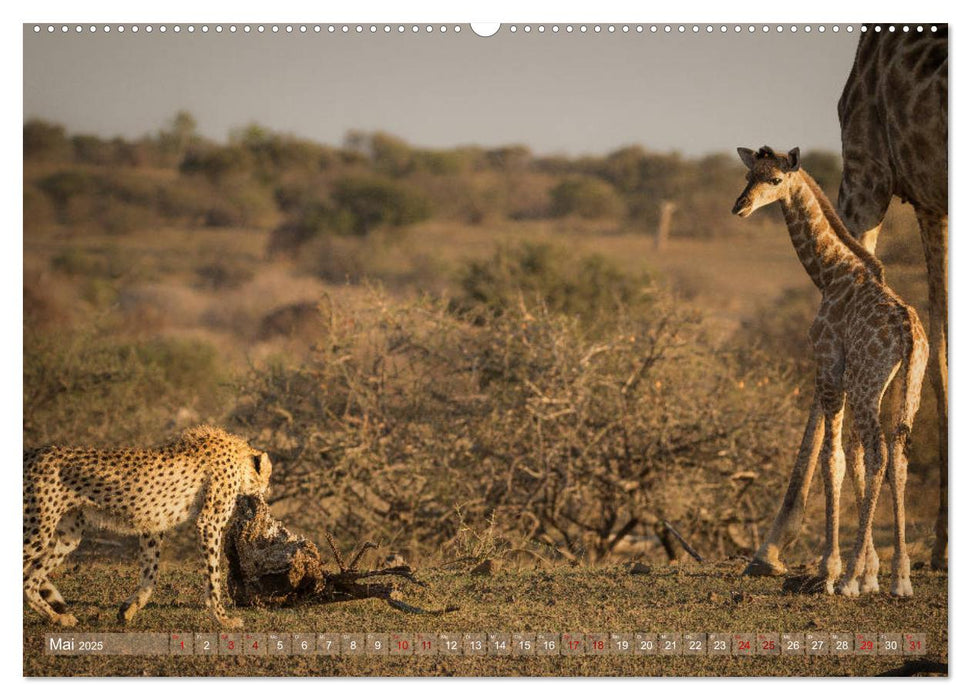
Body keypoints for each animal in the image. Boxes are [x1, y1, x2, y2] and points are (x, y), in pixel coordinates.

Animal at [23, 426, 274, 628]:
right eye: (268, 477)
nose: (268, 492)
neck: (239, 459)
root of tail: (31, 452)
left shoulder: (153, 525)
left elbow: (150, 573)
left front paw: (129, 609)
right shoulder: (209, 522)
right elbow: (213, 576)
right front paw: (223, 619)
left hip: (69, 534)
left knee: (31, 577)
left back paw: (58, 618)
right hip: (37, 529)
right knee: (27, 574)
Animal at [732, 146, 932, 596]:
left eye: (774, 180)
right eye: (749, 174)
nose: (740, 206)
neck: (830, 274)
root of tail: (908, 334)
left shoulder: (828, 368)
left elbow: (834, 459)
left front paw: (834, 569)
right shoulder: (851, 377)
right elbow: (851, 459)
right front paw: (870, 572)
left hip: (865, 387)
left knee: (878, 454)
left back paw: (853, 578)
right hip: (904, 386)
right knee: (898, 455)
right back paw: (901, 578)